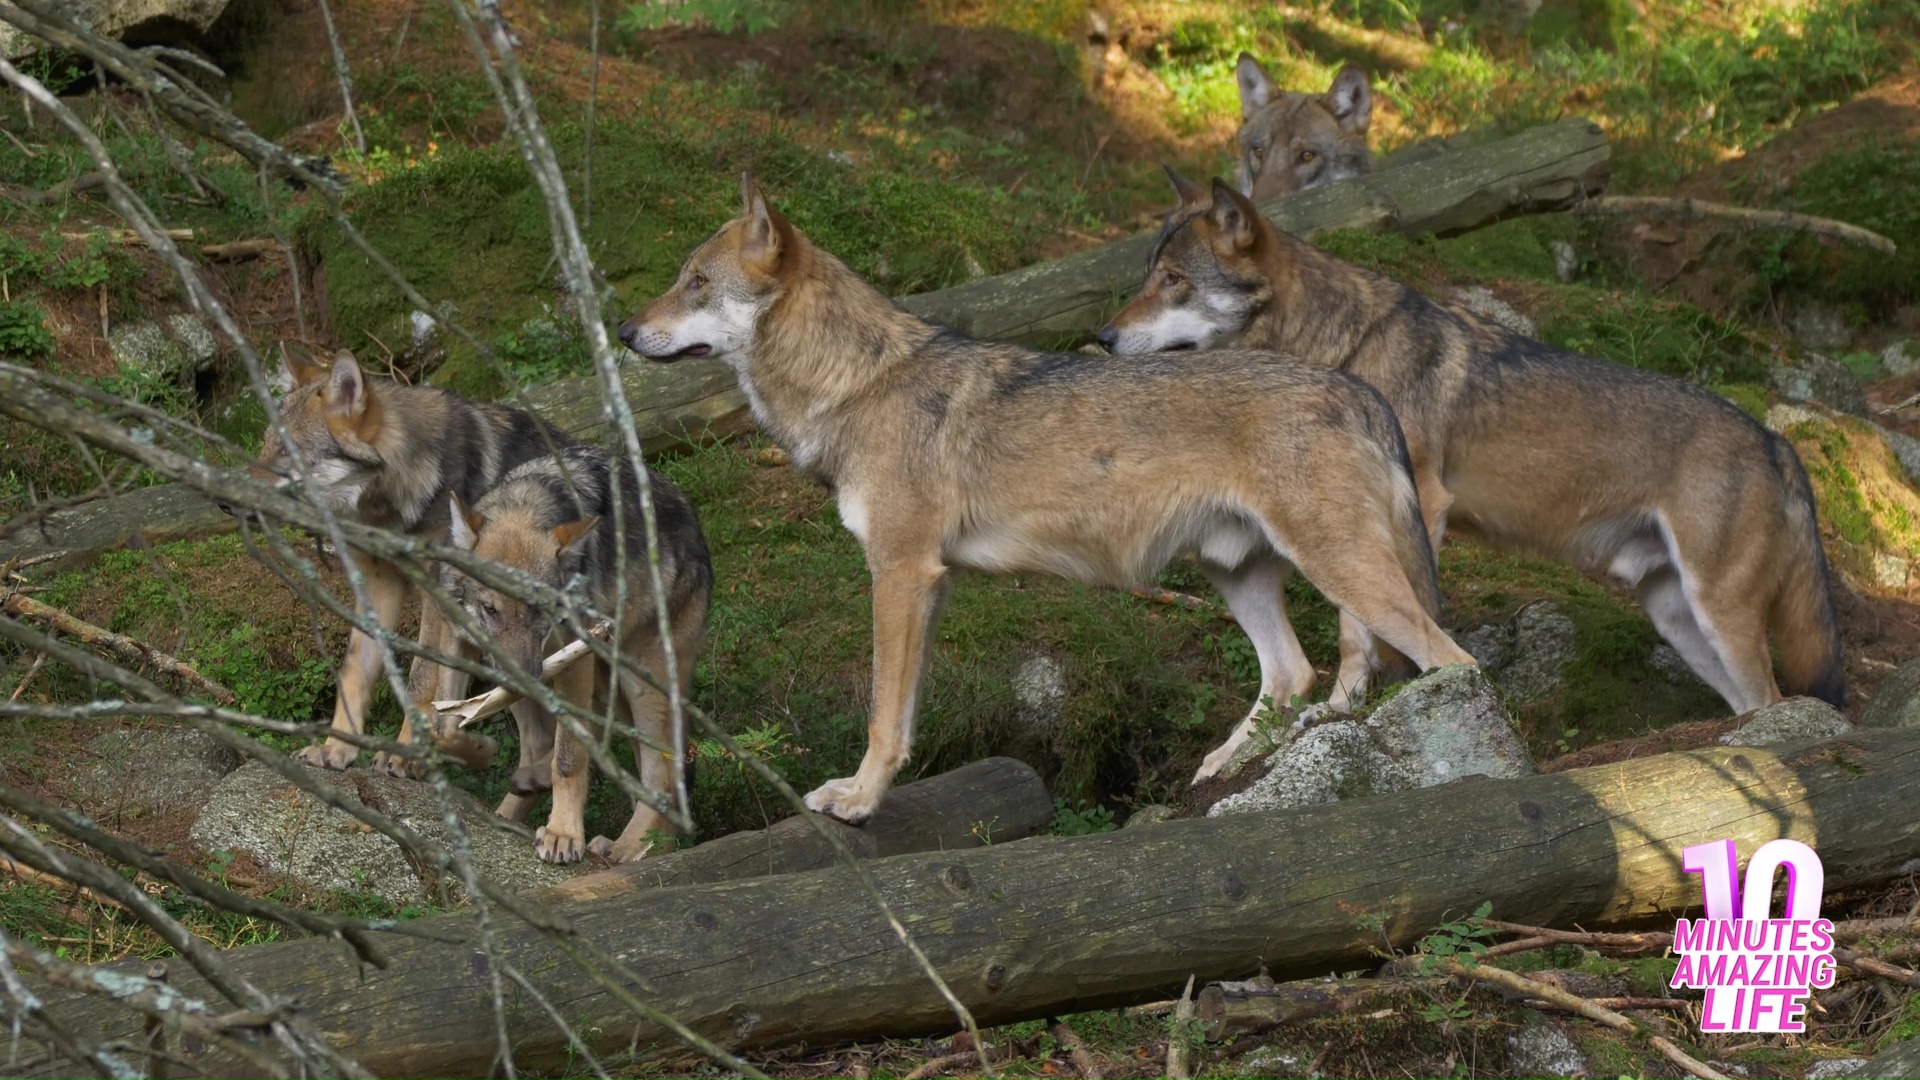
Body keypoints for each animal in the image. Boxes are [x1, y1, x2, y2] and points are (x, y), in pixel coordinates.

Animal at [244, 350, 576, 797]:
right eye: (265, 444)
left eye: (287, 451)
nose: (226, 500)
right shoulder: (377, 587)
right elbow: (355, 671)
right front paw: (335, 751)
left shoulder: (435, 594)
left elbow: (420, 679)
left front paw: (404, 758)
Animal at [442, 443, 711, 863]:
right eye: (490, 608)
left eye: (538, 609)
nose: (524, 677)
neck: (524, 505)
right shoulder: (462, 640)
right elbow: (442, 724)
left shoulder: (573, 663)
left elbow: (569, 758)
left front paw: (563, 833)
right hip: (603, 686)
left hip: (641, 680)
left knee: (662, 778)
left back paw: (628, 849)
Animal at [618, 173, 1476, 821]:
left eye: (695, 282)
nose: (625, 332)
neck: (857, 385)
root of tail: (1358, 390)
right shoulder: (929, 583)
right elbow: (903, 713)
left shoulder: (900, 572)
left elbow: (881, 716)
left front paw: (857, 801)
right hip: (1235, 572)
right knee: (1291, 675)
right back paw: (1220, 770)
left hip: (1341, 572)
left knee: (1449, 660)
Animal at [1095, 171, 1846, 756]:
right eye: (1145, 278)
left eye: (1174, 281)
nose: (1100, 338)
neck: (1342, 347)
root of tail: (1778, 443)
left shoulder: (1417, 502)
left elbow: (1359, 628)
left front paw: (1349, 707)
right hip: (1679, 618)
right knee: (1748, 700)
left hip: (1720, 614)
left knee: (1775, 695)